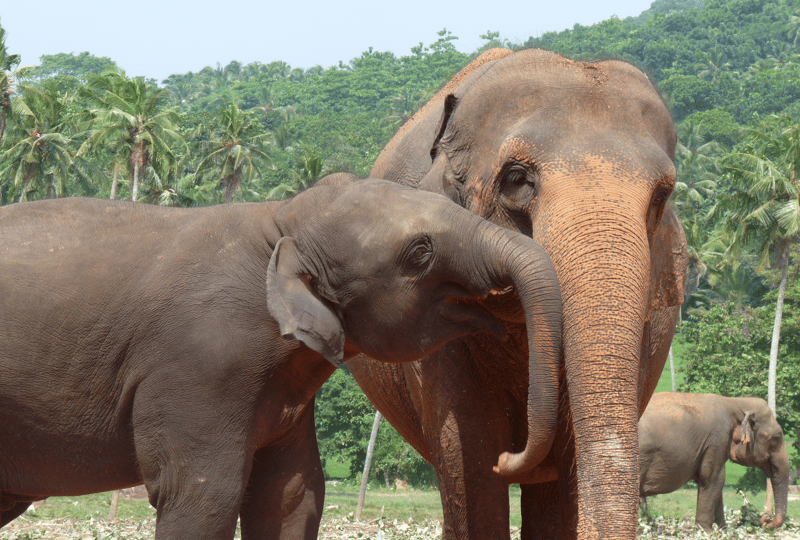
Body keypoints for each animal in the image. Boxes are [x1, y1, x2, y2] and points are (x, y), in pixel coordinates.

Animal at [0, 175, 564, 540]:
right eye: (420, 253)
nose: (506, 459)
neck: (279, 220)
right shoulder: (199, 366)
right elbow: (201, 495)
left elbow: (292, 496)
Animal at [636, 390, 788, 528]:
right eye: (776, 438)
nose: (766, 519)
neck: (734, 402)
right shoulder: (716, 440)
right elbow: (713, 478)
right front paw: (705, 530)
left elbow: (717, 482)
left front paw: (723, 530)